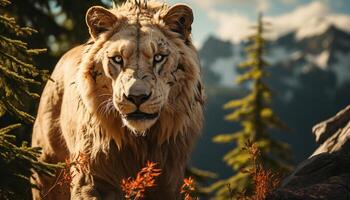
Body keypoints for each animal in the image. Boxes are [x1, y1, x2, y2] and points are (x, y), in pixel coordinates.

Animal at [31, 0, 204, 200]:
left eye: (159, 57)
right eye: (117, 59)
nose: (137, 96)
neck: (141, 143)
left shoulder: (168, 183)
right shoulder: (90, 179)